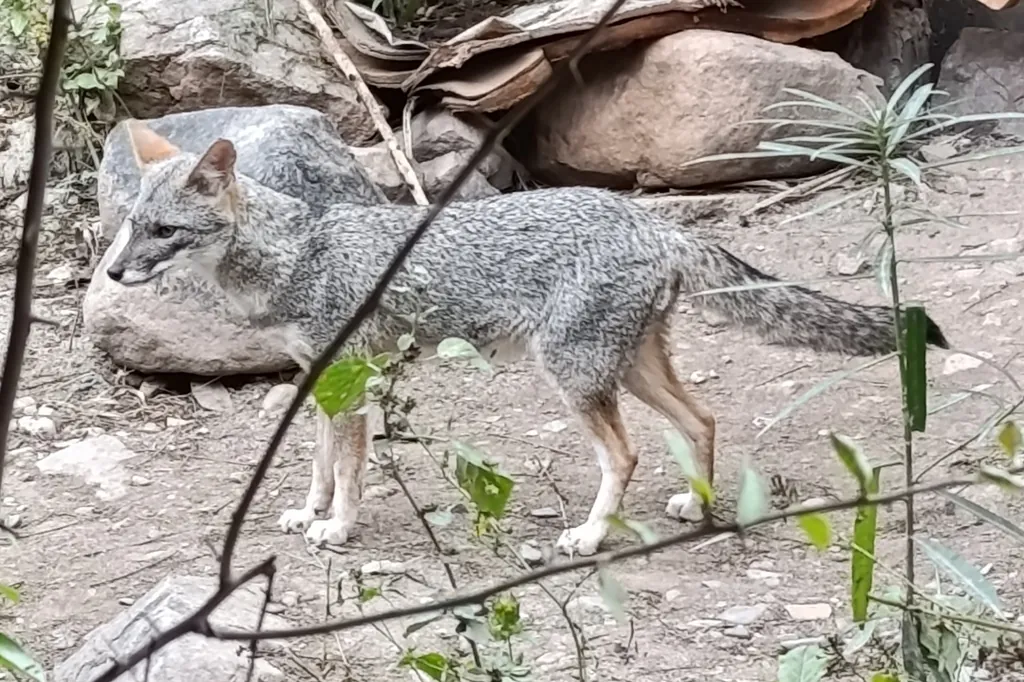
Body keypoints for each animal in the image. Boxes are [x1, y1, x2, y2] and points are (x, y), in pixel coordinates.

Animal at [106, 121, 949, 557]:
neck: (296, 251)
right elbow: (317, 460)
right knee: (703, 419)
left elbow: (347, 469)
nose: (112, 273)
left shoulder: (353, 375)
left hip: (575, 377)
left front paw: (338, 527)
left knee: (625, 454)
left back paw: (590, 536)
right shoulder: (325, 378)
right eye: (129, 224)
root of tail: (653, 219)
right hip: (628, 371)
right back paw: (699, 509)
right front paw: (307, 513)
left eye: (164, 232)